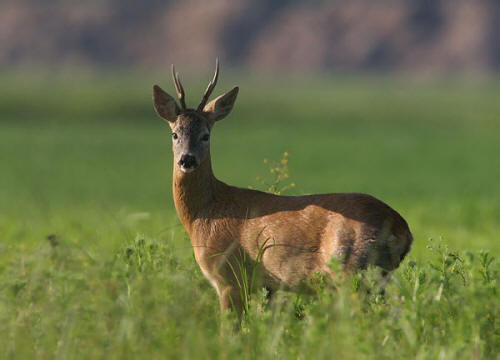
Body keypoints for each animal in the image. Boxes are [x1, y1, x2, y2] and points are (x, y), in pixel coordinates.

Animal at [152, 60, 414, 320]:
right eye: (174, 134)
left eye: (206, 135)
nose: (187, 159)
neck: (206, 212)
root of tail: (402, 229)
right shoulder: (269, 287)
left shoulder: (229, 277)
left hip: (352, 268)